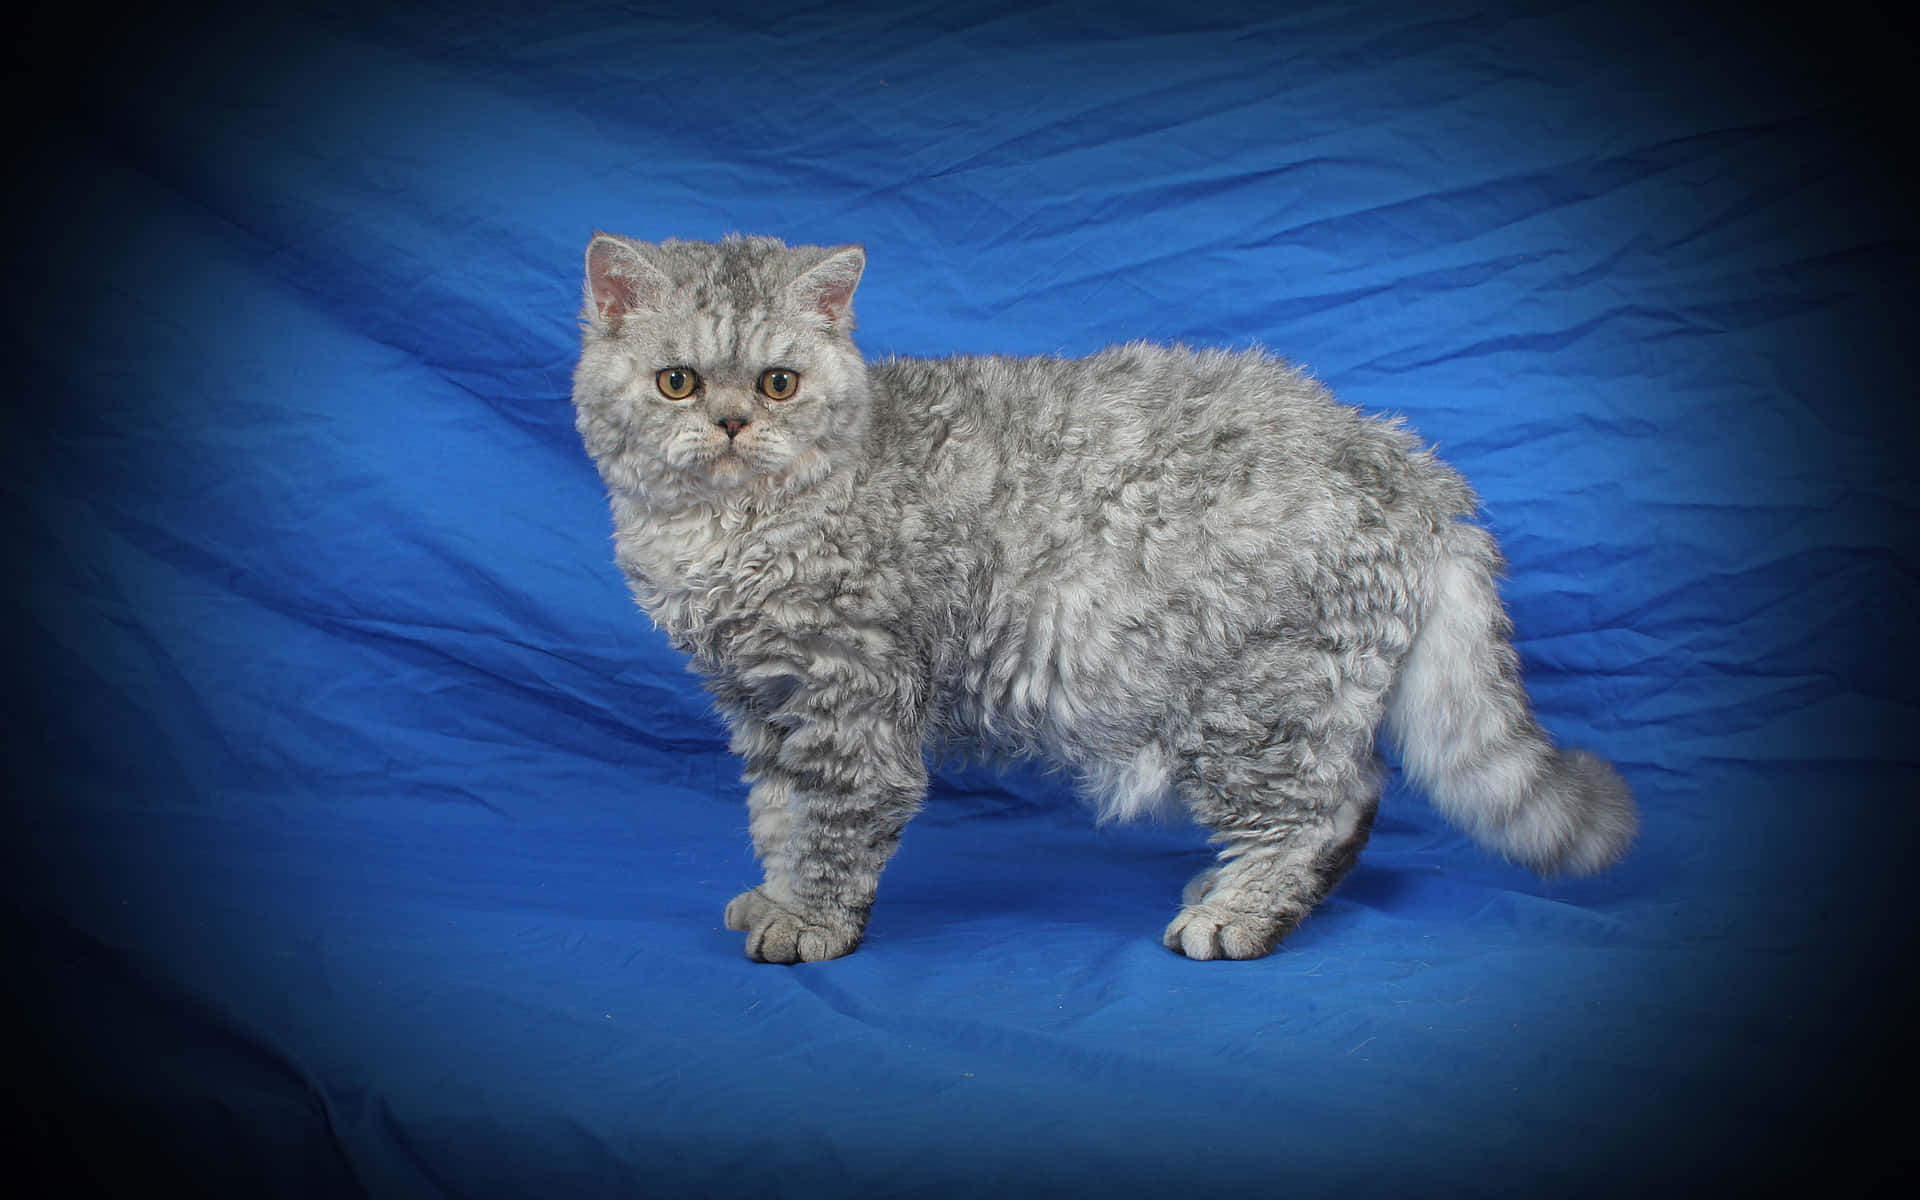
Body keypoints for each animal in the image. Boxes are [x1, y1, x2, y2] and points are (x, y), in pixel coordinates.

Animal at [568, 231, 1635, 963]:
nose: (732, 422)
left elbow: (833, 827)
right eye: (677, 382)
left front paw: (812, 920)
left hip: (1249, 703)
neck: (727, 534)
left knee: (1327, 808)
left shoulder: (849, 704)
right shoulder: (762, 705)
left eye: (779, 383)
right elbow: (778, 819)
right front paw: (777, 893)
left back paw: (1238, 909)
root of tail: (1406, 460)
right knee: (1353, 796)